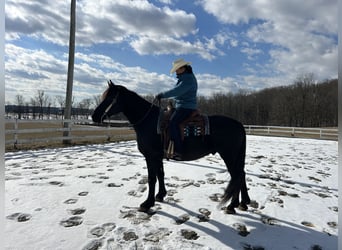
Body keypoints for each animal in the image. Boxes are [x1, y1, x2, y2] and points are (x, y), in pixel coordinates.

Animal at [92, 81, 250, 214]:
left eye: (109, 98)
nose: (94, 116)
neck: (149, 121)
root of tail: (238, 124)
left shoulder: (150, 156)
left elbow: (151, 178)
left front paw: (147, 204)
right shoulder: (158, 156)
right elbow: (160, 174)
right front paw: (160, 195)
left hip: (229, 155)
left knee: (237, 176)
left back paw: (232, 205)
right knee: (241, 175)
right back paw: (242, 203)